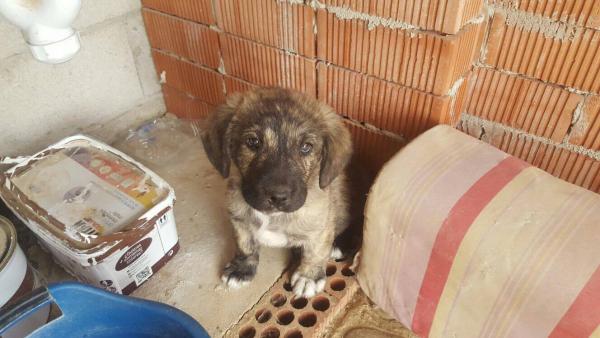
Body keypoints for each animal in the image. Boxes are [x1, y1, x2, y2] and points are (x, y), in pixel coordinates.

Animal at [202, 88, 352, 298]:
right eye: (253, 142)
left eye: (306, 147)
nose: (278, 197)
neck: (273, 216)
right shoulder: (239, 218)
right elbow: (245, 243)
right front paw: (242, 269)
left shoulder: (321, 225)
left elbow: (315, 251)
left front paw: (308, 276)